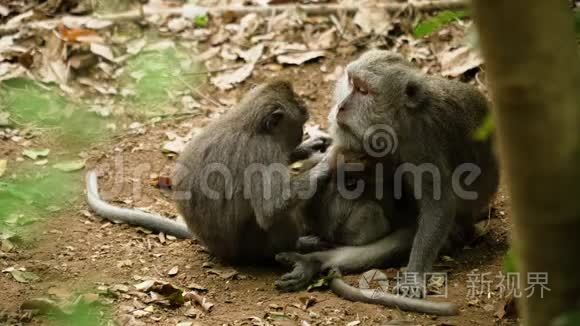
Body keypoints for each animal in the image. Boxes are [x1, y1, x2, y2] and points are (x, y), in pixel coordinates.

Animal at [85, 80, 330, 264]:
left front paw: (310, 147)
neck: (250, 126)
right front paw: (324, 166)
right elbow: (270, 210)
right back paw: (296, 246)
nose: (302, 134)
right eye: (301, 124)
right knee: (276, 219)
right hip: (252, 247)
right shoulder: (263, 152)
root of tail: (214, 249)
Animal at [274, 49, 496, 314]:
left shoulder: (422, 141)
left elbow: (439, 205)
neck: (398, 120)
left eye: (363, 91)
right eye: (351, 83)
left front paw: (414, 277)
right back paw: (313, 261)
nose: (341, 107)